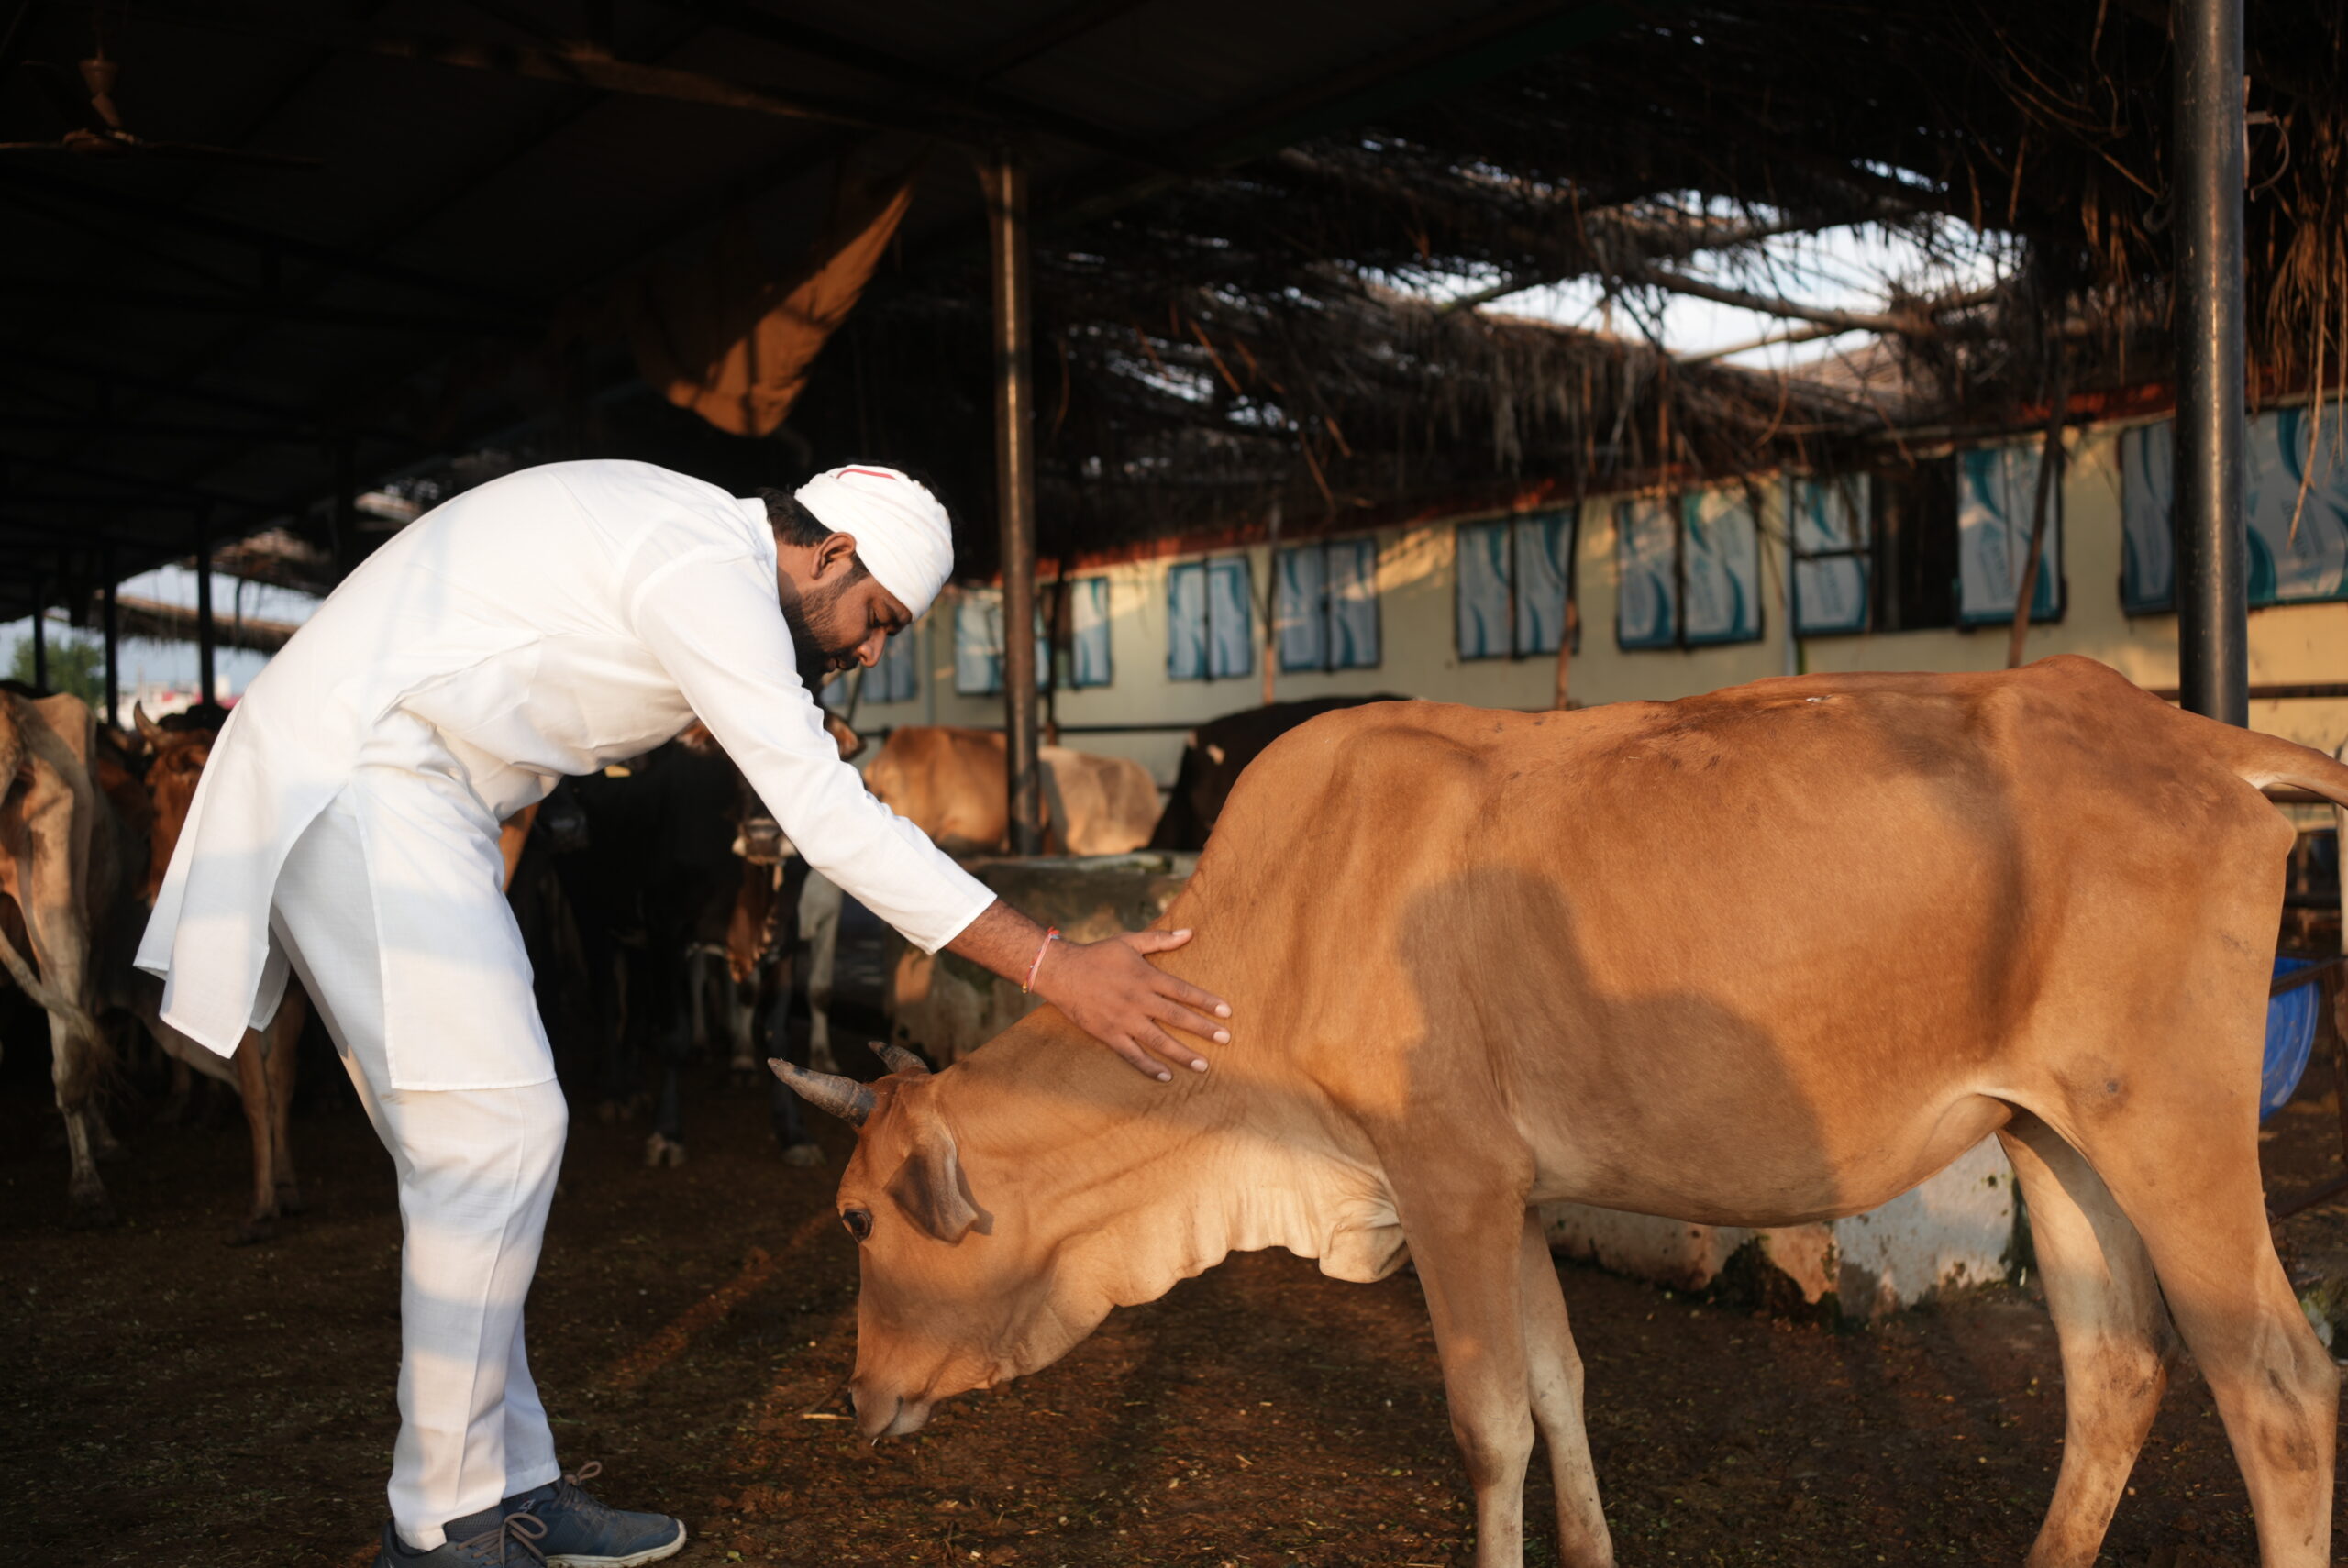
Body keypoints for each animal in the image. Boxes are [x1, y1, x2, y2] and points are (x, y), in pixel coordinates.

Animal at [134, 709, 307, 1239]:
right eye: (149, 788)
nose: (153, 894)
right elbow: (260, 1089)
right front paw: (269, 1194)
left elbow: (278, 1083)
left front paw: (279, 1188)